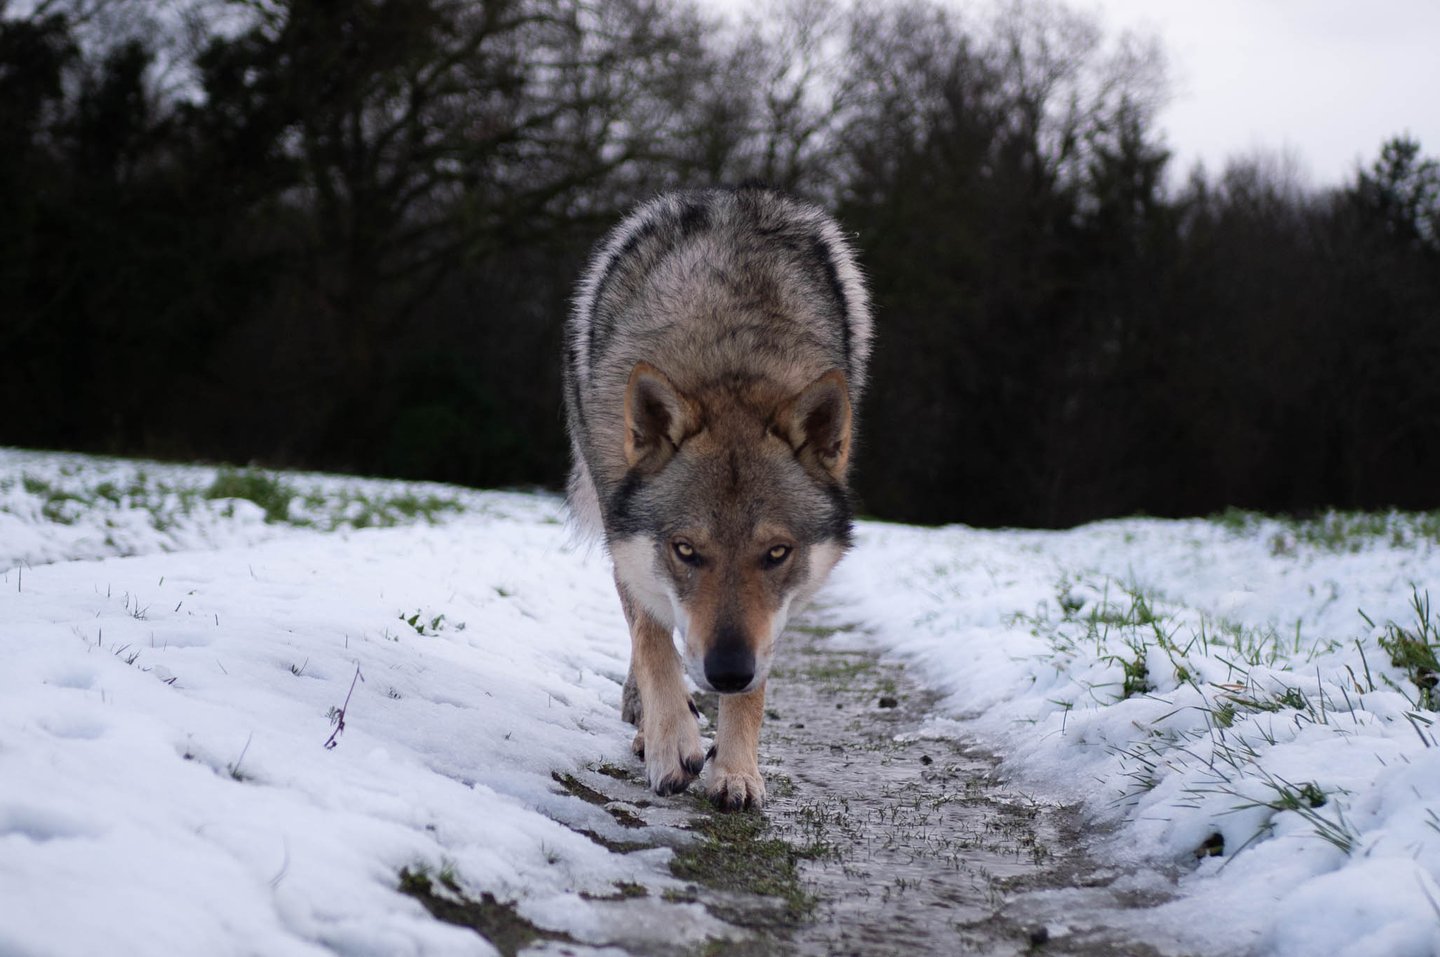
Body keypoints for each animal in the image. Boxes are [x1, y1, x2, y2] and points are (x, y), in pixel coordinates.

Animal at [564, 187, 872, 809]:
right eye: (686, 550)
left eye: (776, 553)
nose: (728, 671)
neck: (732, 361)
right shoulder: (627, 537)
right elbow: (653, 642)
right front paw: (670, 744)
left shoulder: (769, 622)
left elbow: (756, 686)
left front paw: (736, 771)